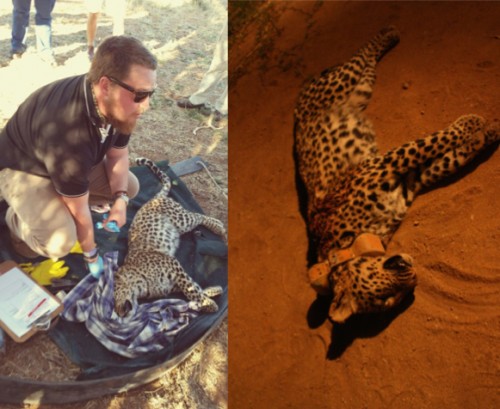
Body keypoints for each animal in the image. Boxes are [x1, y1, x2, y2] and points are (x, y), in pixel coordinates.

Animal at [114, 158, 226, 318]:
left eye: (114, 295)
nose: (119, 314)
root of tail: (154, 198)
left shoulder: (173, 264)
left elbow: (190, 289)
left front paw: (208, 304)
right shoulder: (173, 284)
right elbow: (194, 286)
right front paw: (213, 292)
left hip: (182, 220)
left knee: (198, 216)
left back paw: (218, 226)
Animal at [294, 27, 498, 324]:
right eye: (389, 299)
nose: (411, 272)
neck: (353, 237)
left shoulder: (387, 164)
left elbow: (430, 142)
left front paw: (473, 122)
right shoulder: (410, 181)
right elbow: (450, 156)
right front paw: (485, 133)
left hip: (339, 84)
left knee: (357, 58)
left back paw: (387, 34)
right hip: (361, 87)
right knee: (365, 64)